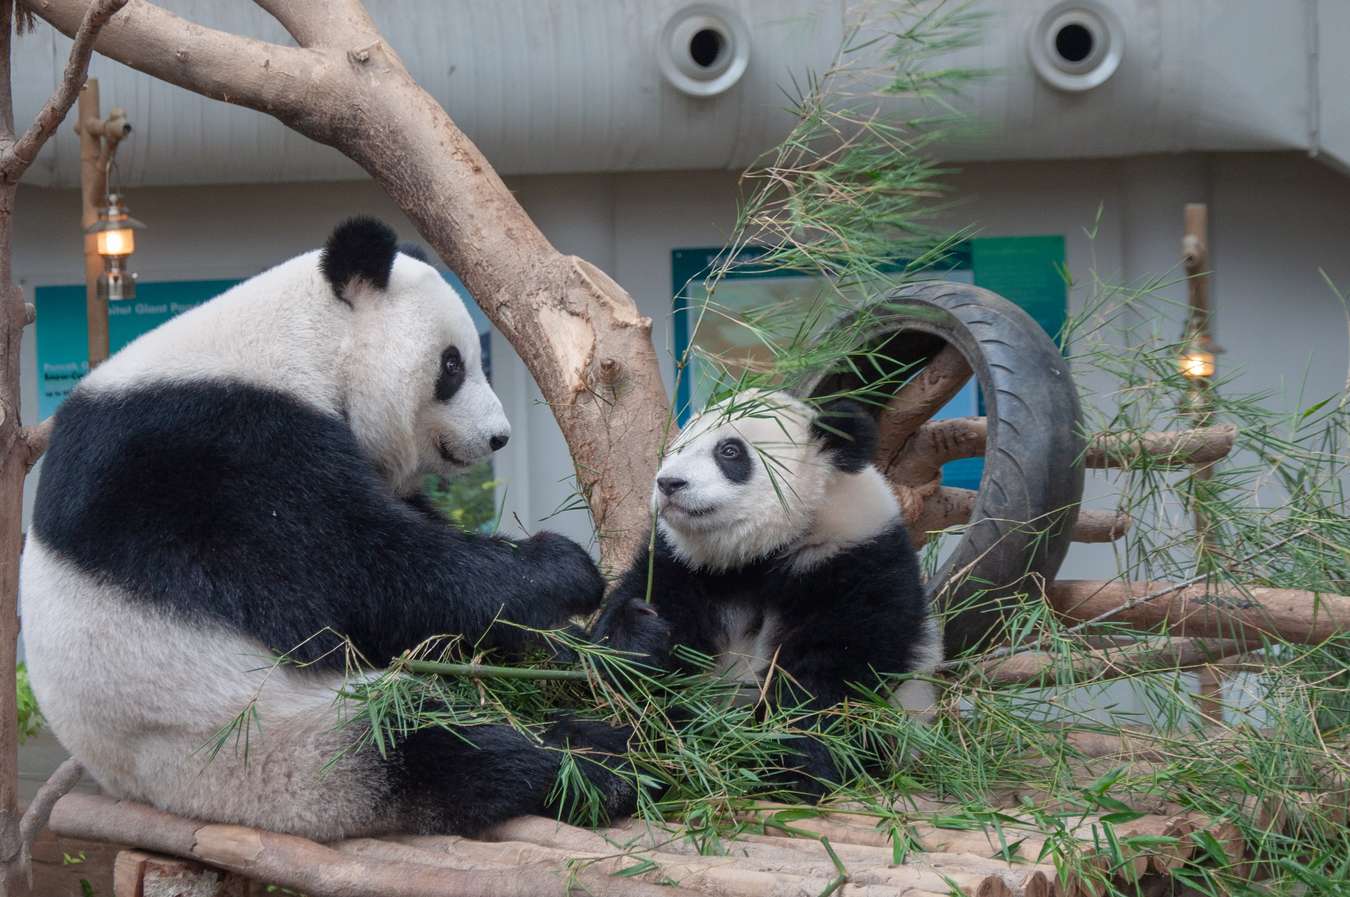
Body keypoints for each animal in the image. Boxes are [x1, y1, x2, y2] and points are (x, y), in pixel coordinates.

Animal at [18, 217, 634, 842]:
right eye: (452, 365)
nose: (498, 436)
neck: (295, 345)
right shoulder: (211, 455)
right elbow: (360, 575)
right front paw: (562, 569)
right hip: (269, 745)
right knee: (428, 743)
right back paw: (590, 770)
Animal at [594, 389, 939, 794]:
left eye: (729, 452)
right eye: (679, 448)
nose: (669, 483)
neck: (757, 557)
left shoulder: (856, 563)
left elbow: (833, 675)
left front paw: (782, 761)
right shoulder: (685, 566)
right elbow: (625, 650)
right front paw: (639, 638)